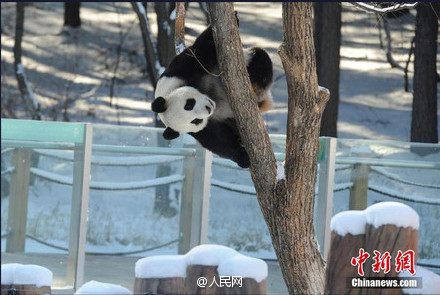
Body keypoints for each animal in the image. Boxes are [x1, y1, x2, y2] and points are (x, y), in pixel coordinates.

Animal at [153, 19, 274, 169]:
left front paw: (233, 18)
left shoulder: (180, 71)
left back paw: (254, 85)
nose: (208, 109)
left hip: (250, 62)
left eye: (189, 104)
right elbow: (217, 141)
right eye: (195, 120)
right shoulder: (200, 129)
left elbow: (202, 50)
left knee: (259, 58)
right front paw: (243, 158)